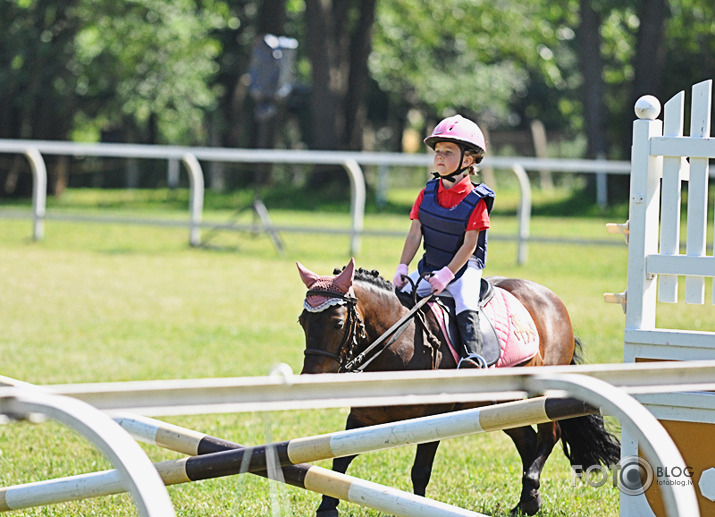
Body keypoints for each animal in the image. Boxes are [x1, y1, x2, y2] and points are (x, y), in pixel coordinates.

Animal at [296, 260, 620, 512]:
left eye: (337, 323)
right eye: (302, 322)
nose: (311, 379)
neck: (398, 343)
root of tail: (550, 298)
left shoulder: (433, 416)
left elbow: (420, 471)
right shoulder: (363, 415)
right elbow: (341, 458)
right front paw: (327, 508)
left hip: (539, 395)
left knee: (549, 435)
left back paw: (530, 491)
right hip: (503, 405)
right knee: (527, 440)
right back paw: (527, 501)